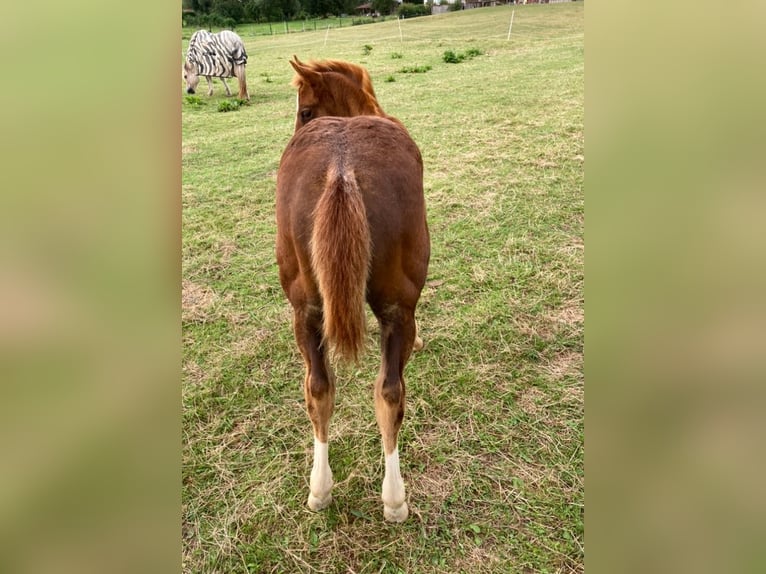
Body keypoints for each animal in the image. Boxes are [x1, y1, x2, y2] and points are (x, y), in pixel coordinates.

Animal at [276, 57, 432, 520]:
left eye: (305, 110)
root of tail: (340, 168)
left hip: (306, 311)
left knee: (318, 389)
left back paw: (319, 489)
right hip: (398, 309)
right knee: (390, 393)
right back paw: (395, 500)